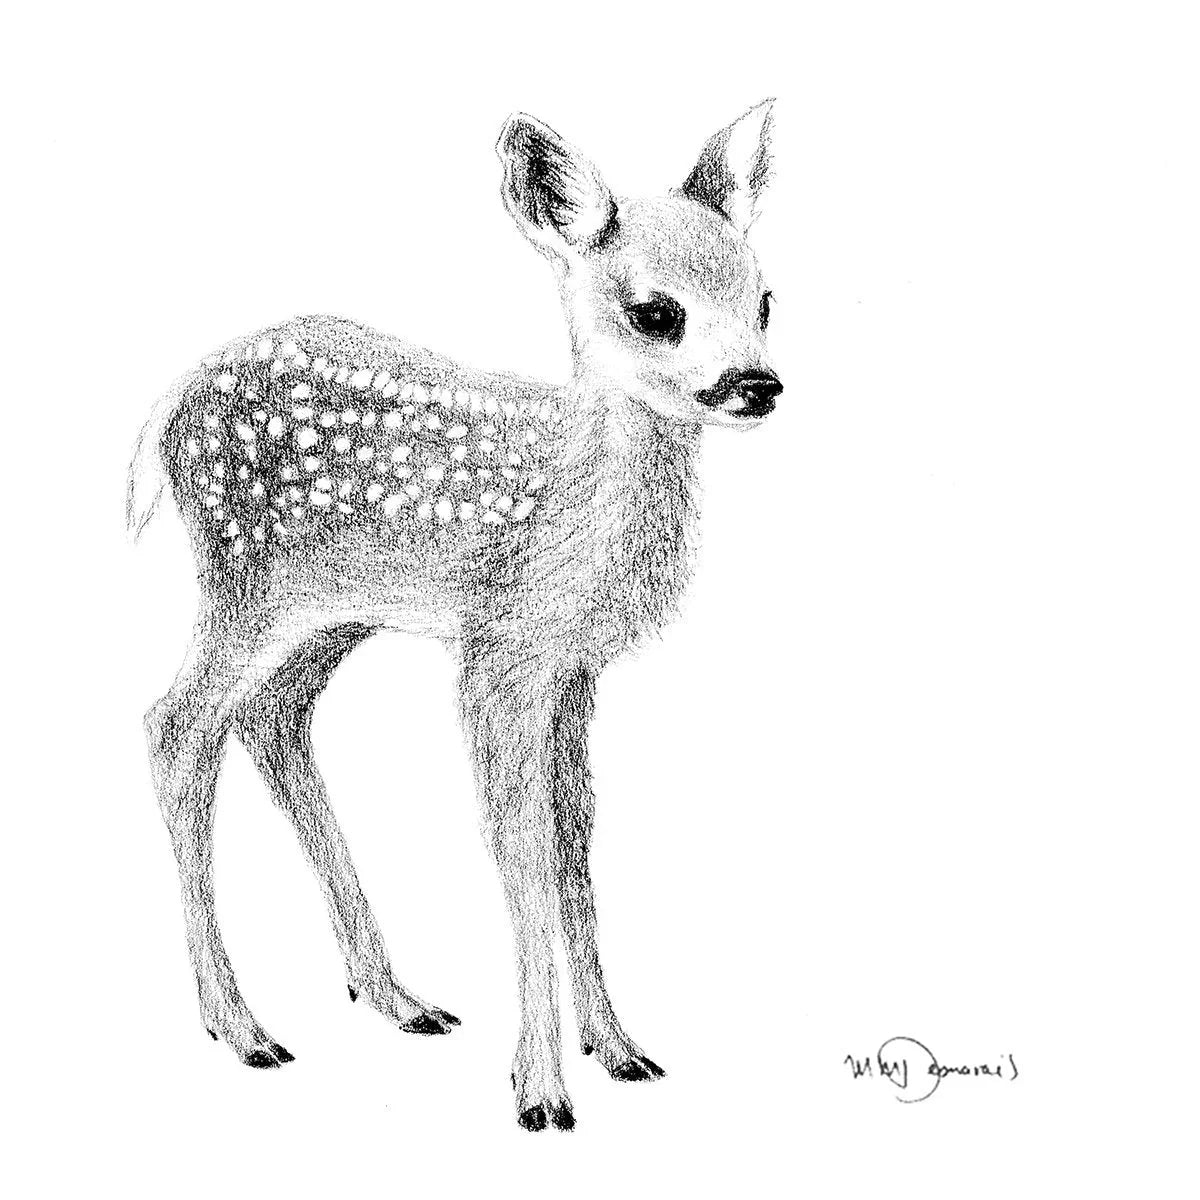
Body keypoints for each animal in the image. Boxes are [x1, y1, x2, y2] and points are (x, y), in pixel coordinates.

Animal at [128, 100, 782, 1132]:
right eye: (657, 311)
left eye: (767, 300)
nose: (758, 385)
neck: (577, 497)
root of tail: (166, 410)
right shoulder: (499, 651)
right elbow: (517, 846)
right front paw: (541, 1092)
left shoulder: (569, 664)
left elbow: (573, 834)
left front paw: (618, 1049)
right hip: (242, 582)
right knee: (176, 726)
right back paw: (243, 1028)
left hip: (329, 611)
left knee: (269, 720)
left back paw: (396, 997)